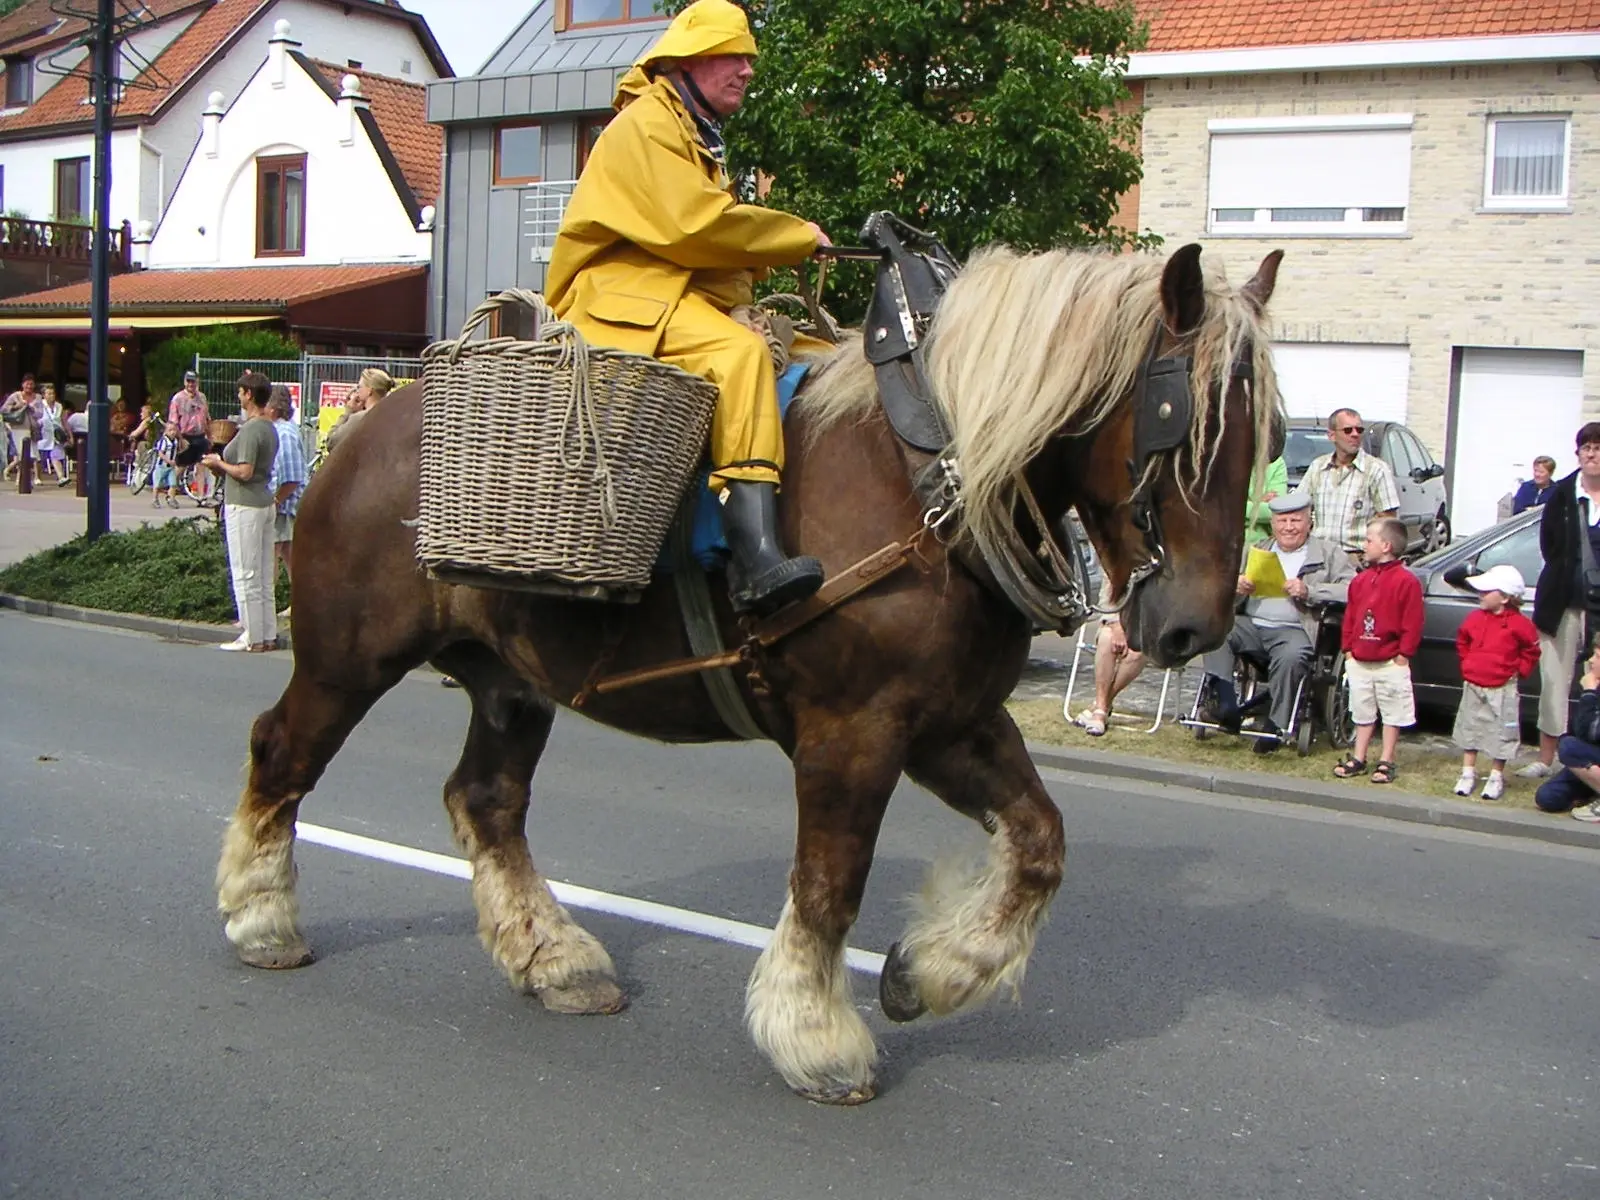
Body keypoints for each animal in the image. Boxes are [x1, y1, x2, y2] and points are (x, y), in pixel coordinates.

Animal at [216, 244, 1286, 1107]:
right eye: (1174, 421)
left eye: (1268, 439)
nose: (1193, 625)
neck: (924, 475)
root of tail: (363, 429)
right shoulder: (854, 733)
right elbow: (829, 883)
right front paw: (816, 1036)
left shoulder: (954, 724)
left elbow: (1041, 845)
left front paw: (929, 972)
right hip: (349, 660)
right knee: (282, 754)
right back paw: (262, 916)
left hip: (511, 683)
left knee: (486, 799)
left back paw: (553, 958)